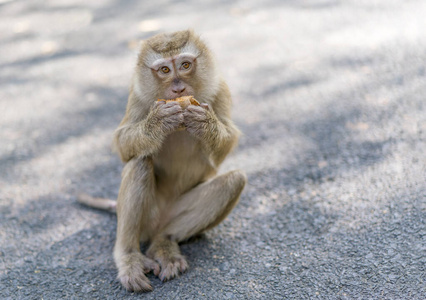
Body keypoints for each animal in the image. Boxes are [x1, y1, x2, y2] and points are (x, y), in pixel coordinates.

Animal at [77, 29, 246, 292]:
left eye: (185, 65)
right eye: (165, 70)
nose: (178, 89)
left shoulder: (221, 89)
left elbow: (226, 145)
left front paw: (204, 123)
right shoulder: (137, 95)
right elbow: (122, 144)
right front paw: (157, 122)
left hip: (170, 216)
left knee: (235, 181)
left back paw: (163, 245)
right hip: (147, 218)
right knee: (139, 163)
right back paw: (129, 257)